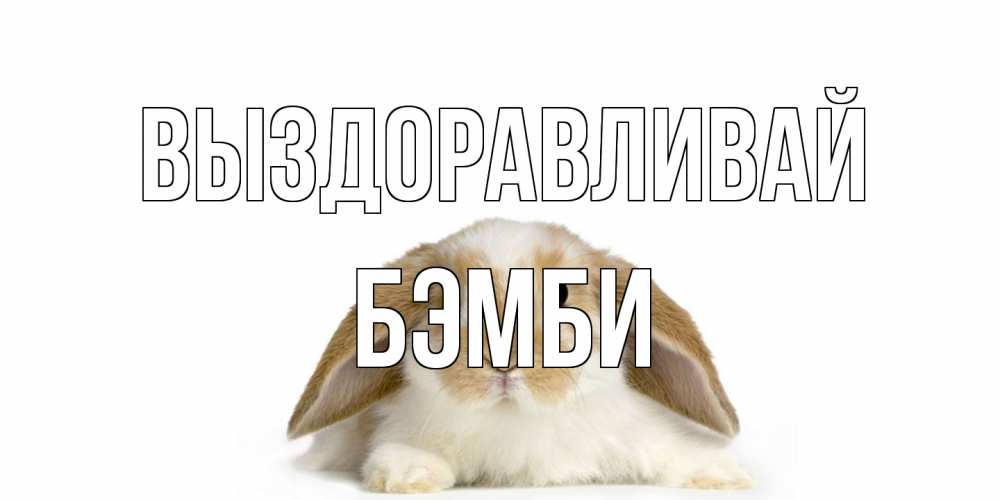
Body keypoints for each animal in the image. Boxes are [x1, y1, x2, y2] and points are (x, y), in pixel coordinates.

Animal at [288, 218, 752, 492]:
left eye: (563, 293)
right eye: (445, 296)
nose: (505, 359)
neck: (515, 419)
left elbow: (672, 451)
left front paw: (725, 474)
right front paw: (408, 474)